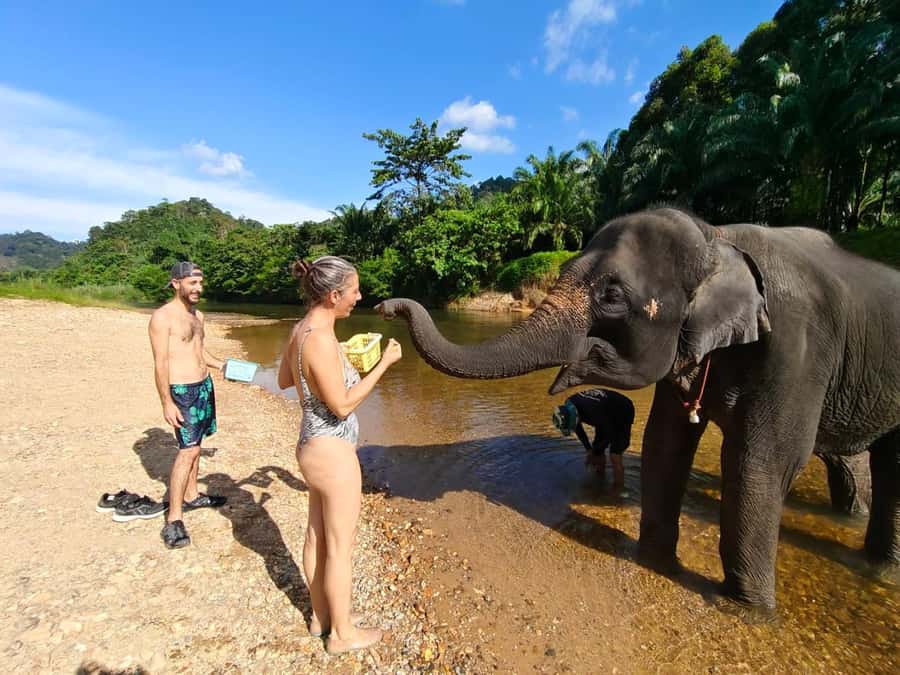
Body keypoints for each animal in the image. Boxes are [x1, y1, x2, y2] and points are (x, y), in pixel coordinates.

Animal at [377, 207, 900, 609]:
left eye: (611, 296)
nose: (384, 306)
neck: (717, 239)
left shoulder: (797, 348)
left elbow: (765, 461)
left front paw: (749, 611)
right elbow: (664, 442)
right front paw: (655, 563)